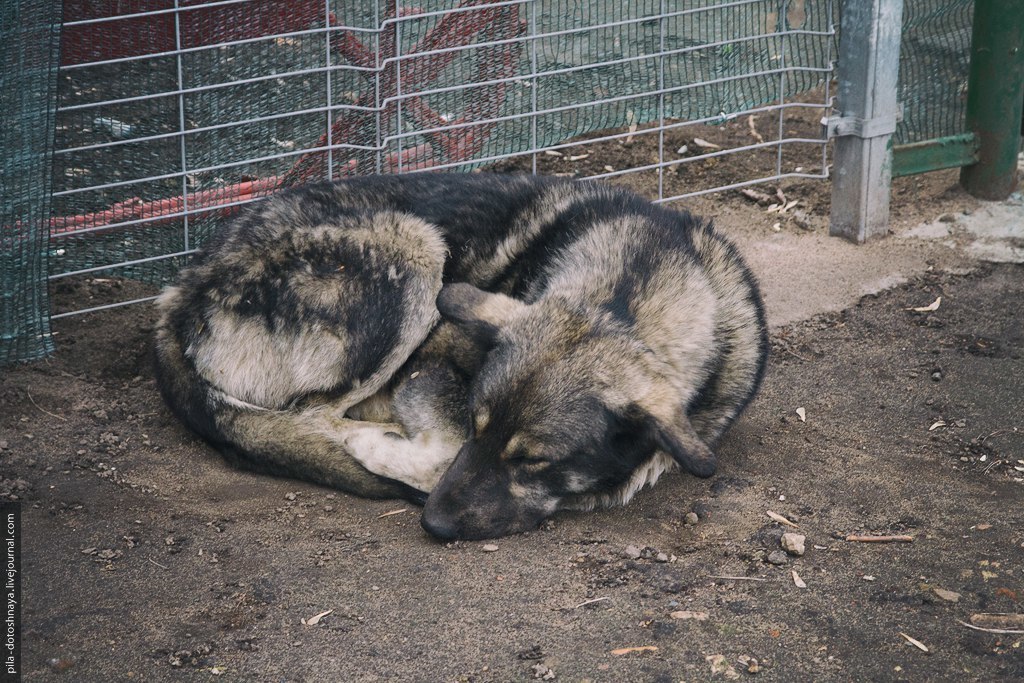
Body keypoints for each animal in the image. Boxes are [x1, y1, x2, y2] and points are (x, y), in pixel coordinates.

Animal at [155, 175, 770, 540]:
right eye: (477, 424)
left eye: (534, 461)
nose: (435, 524)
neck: (630, 293)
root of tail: (178, 293)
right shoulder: (432, 367)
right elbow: (442, 450)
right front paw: (382, 450)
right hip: (414, 251)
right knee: (308, 418)